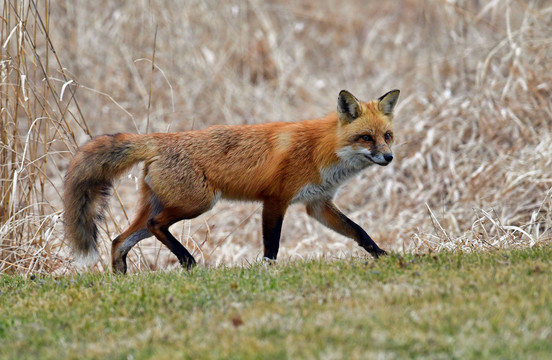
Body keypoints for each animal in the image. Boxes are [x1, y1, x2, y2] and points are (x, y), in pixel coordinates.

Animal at [63, 89, 402, 272]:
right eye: (366, 137)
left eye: (387, 136)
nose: (389, 158)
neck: (321, 149)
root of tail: (159, 139)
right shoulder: (275, 200)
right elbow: (271, 246)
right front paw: (268, 273)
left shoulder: (317, 204)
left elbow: (359, 232)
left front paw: (385, 256)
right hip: (197, 203)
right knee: (155, 225)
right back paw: (188, 262)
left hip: (160, 205)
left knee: (118, 240)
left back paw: (121, 278)